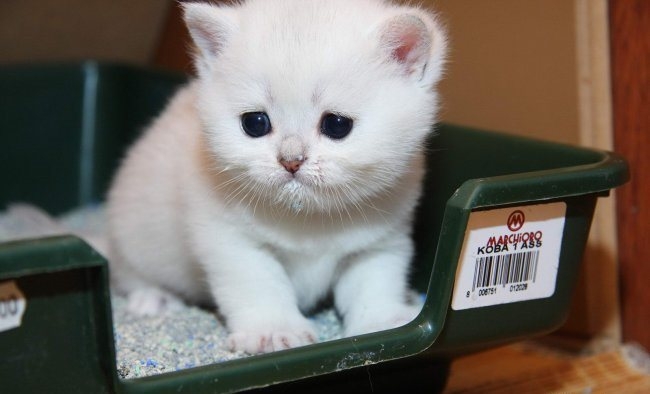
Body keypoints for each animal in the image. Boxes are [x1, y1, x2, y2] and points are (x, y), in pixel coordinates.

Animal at [106, 0, 442, 354]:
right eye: (255, 123)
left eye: (337, 124)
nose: (290, 161)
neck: (308, 218)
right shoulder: (230, 241)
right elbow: (259, 284)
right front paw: (274, 332)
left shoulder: (381, 241)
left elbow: (376, 282)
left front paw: (383, 321)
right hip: (132, 233)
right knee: (130, 273)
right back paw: (153, 298)